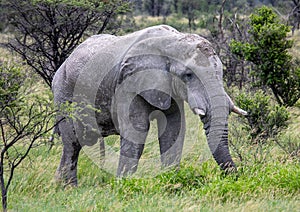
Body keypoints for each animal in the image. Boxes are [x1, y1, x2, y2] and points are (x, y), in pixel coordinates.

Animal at [51, 24, 247, 186]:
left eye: (221, 72)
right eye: (188, 75)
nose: (236, 176)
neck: (172, 41)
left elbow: (174, 129)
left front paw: (171, 179)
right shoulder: (127, 83)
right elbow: (137, 130)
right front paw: (123, 185)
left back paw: (59, 184)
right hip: (63, 93)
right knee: (73, 141)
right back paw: (69, 187)